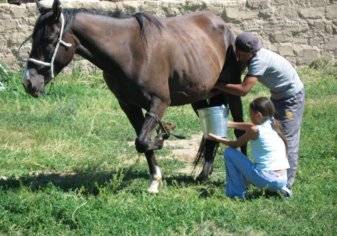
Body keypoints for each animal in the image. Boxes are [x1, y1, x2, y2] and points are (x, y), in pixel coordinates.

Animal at [23, 0, 244, 192]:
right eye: (33, 38)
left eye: (50, 40)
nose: (29, 83)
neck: (130, 52)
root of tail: (222, 25)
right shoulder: (129, 106)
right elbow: (142, 142)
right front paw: (155, 179)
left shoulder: (159, 103)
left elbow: (143, 141)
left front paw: (162, 137)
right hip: (200, 98)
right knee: (211, 133)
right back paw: (204, 174)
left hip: (232, 93)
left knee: (239, 129)